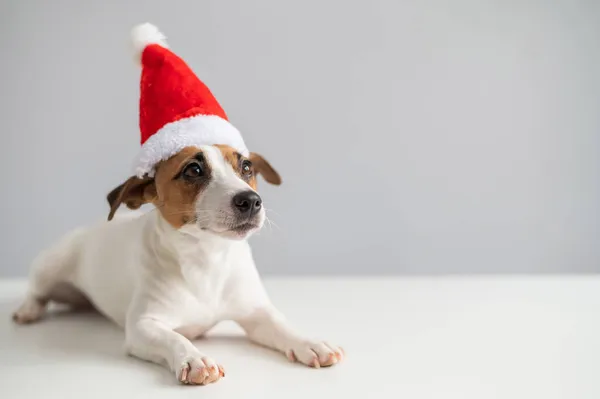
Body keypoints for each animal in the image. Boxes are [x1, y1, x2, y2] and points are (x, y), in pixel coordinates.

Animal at [12, 145, 342, 386]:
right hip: (51, 265)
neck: (206, 260)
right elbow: (174, 337)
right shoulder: (143, 326)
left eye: (246, 167)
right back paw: (27, 310)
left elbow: (281, 325)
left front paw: (310, 342)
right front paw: (195, 358)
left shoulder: (256, 313)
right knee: (36, 290)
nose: (250, 200)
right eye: (193, 170)